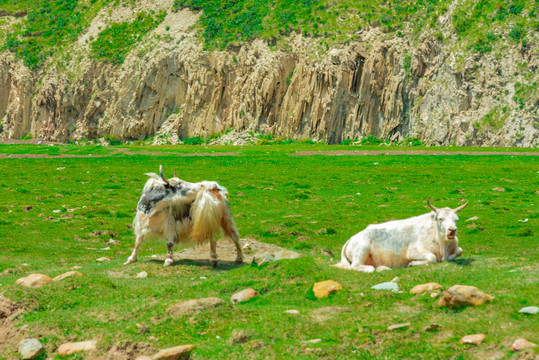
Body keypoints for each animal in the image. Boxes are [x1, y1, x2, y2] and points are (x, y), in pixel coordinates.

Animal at [336, 198, 466, 272]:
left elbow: (459, 251)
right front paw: (413, 263)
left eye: (456, 219)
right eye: (440, 219)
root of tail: (352, 238)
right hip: (362, 249)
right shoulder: (413, 250)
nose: (452, 230)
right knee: (358, 266)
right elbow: (432, 257)